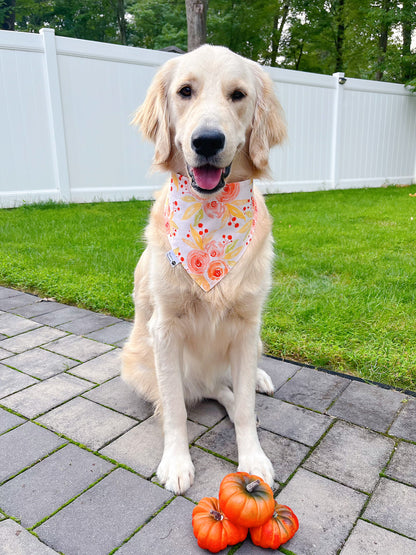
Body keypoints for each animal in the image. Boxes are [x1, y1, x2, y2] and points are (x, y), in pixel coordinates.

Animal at [120, 44, 286, 496]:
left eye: (238, 95)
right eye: (185, 91)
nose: (208, 141)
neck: (211, 216)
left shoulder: (247, 326)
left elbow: (244, 406)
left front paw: (253, 459)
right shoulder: (165, 328)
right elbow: (175, 407)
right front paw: (176, 462)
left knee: (230, 390)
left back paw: (258, 380)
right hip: (138, 364)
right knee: (205, 390)